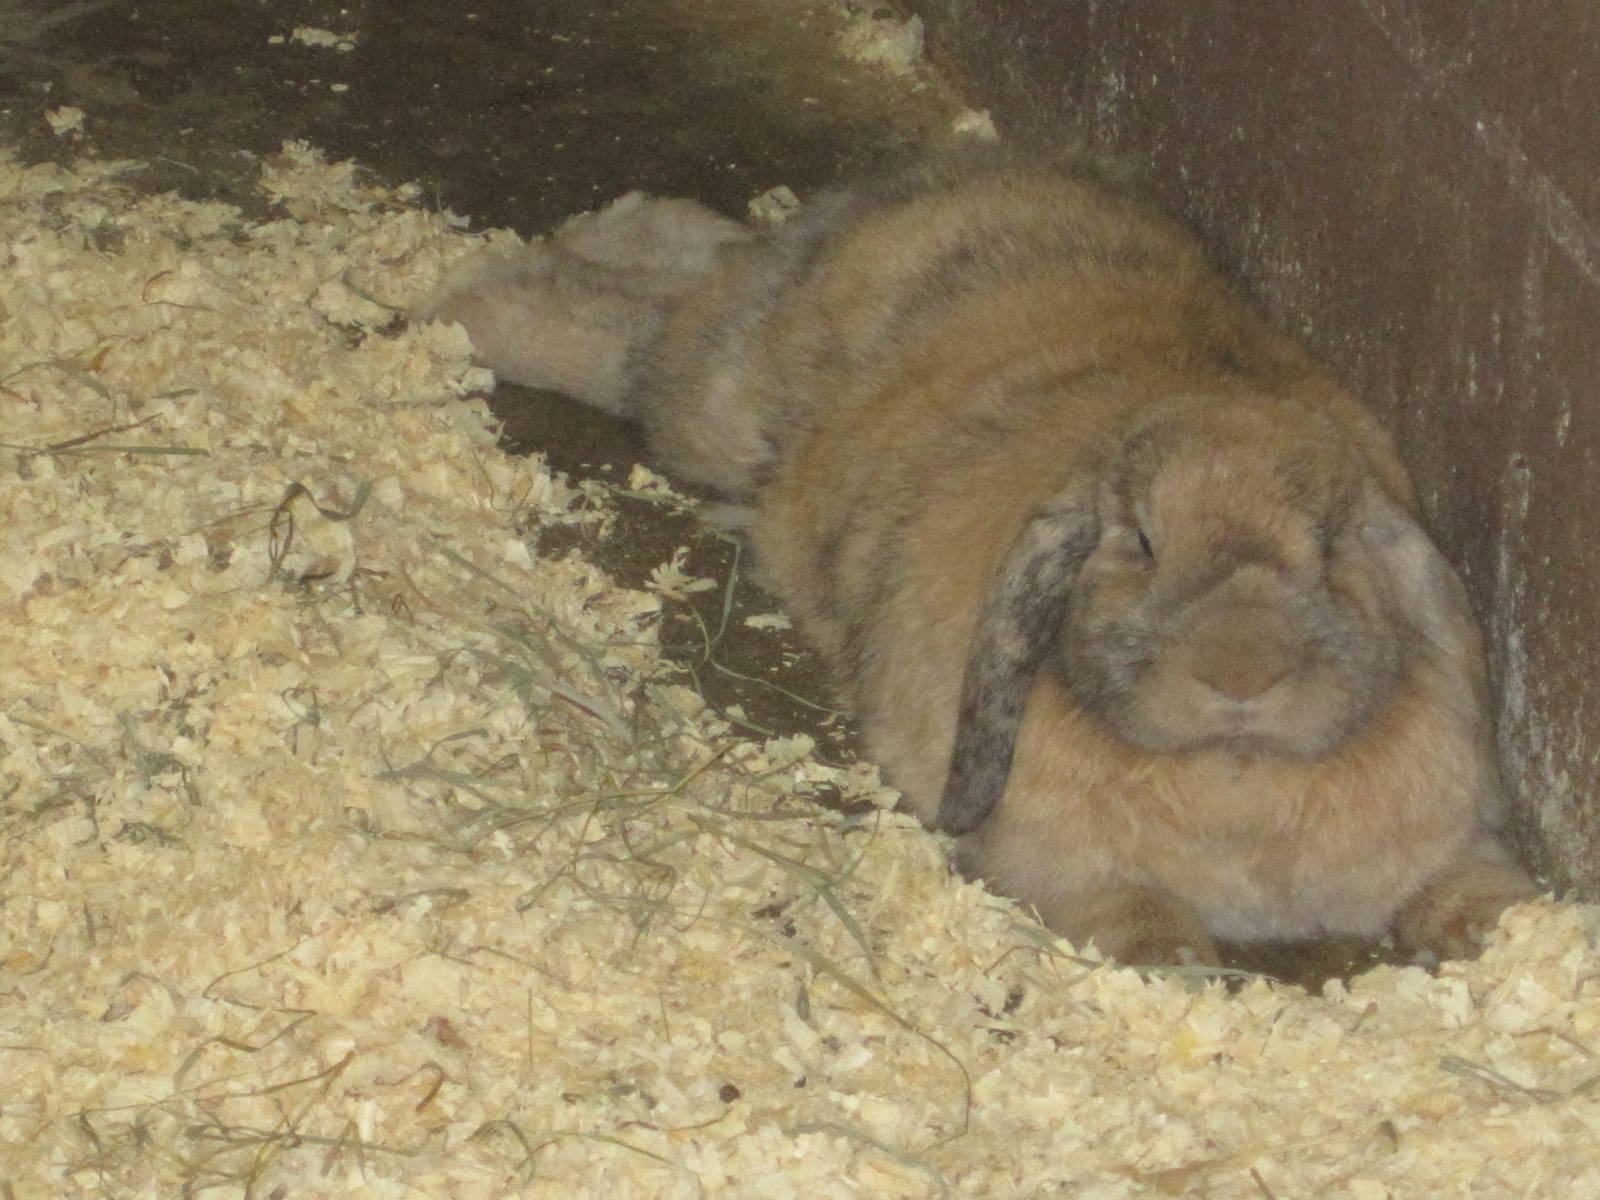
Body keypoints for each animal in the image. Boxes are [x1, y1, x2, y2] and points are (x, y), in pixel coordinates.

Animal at [421, 153, 1539, 966]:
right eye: (1138, 538)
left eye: (1333, 544)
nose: (1241, 671)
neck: (1236, 780)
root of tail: (937, 185)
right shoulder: (1055, 864)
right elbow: (1135, 918)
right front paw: (1175, 957)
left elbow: (1478, 896)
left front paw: (1508, 931)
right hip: (713, 405)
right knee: (635, 338)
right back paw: (475, 307)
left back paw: (636, 227)